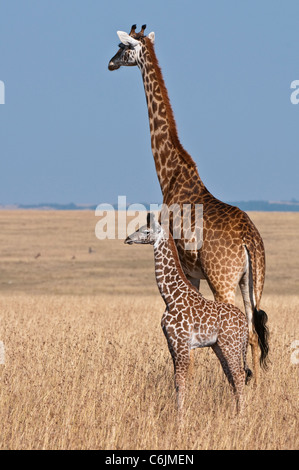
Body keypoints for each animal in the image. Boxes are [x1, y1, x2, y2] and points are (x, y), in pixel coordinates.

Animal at [108, 24, 270, 382]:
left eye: (123, 48)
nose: (109, 63)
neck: (170, 174)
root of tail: (250, 241)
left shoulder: (185, 265)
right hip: (253, 281)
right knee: (256, 332)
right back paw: (259, 387)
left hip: (223, 280)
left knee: (244, 330)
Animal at [125, 215, 252, 416]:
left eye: (146, 230)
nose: (127, 239)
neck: (170, 297)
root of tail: (244, 323)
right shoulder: (171, 343)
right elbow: (176, 381)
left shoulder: (181, 343)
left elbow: (181, 381)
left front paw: (181, 417)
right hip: (219, 346)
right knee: (231, 376)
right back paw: (236, 412)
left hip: (230, 345)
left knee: (239, 375)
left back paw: (241, 416)